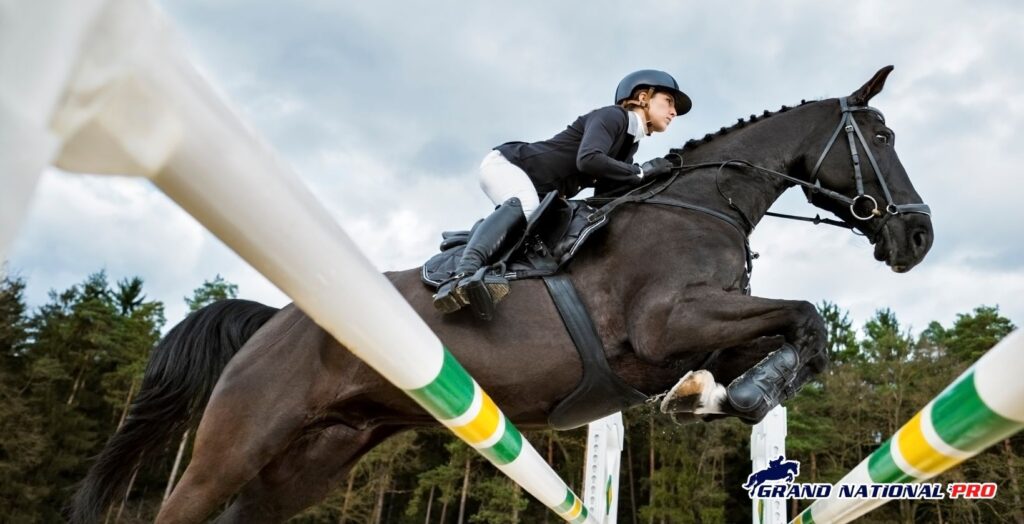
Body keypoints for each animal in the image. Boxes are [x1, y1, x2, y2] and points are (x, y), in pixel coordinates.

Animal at [70, 67, 937, 521]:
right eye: (882, 136)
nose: (919, 237)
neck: (703, 203)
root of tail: (273, 318)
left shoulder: (693, 336)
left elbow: (784, 339)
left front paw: (716, 398)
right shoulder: (667, 323)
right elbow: (808, 318)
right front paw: (749, 395)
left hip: (311, 459)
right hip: (236, 443)